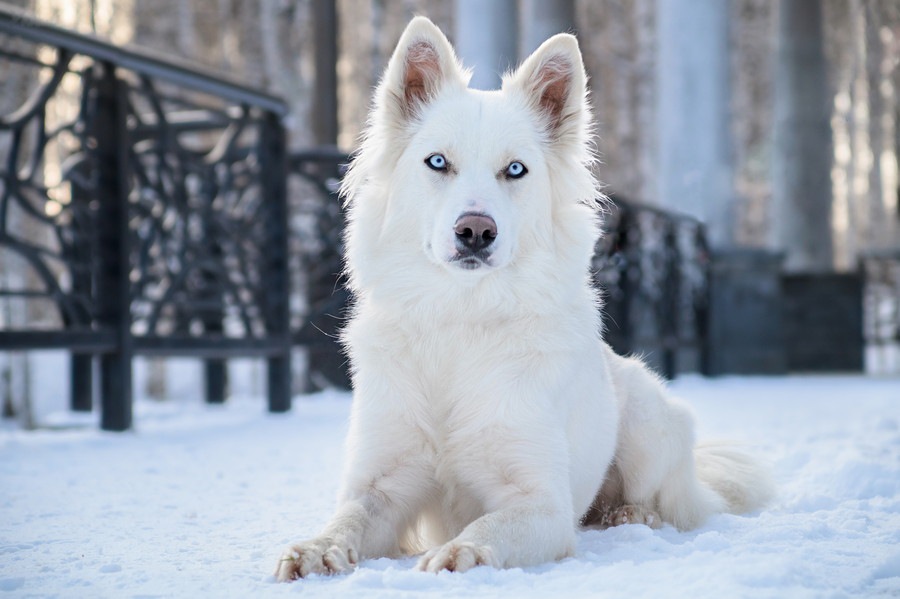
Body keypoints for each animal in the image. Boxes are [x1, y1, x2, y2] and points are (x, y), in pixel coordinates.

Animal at [276, 17, 772, 580]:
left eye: (515, 170)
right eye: (438, 162)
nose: (475, 231)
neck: (462, 319)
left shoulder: (543, 504)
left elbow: (492, 526)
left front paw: (460, 553)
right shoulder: (381, 483)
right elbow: (348, 518)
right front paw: (316, 548)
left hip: (648, 420)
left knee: (657, 497)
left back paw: (629, 514)